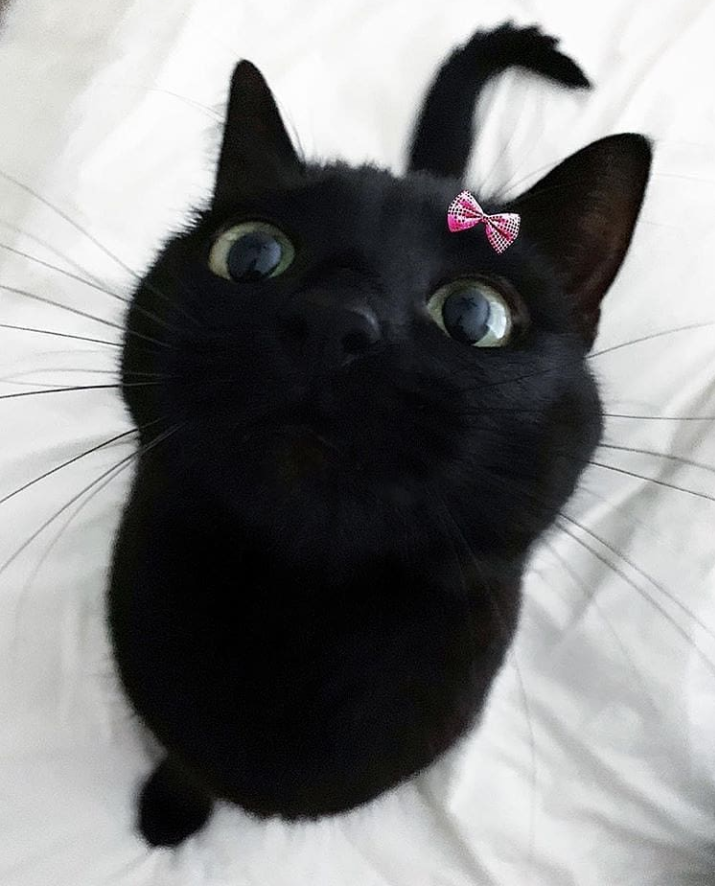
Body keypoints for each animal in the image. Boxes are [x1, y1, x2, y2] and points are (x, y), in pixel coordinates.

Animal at [107, 23, 651, 847]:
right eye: (250, 254)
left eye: (475, 316)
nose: (333, 321)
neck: (297, 619)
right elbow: (187, 758)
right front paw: (169, 810)